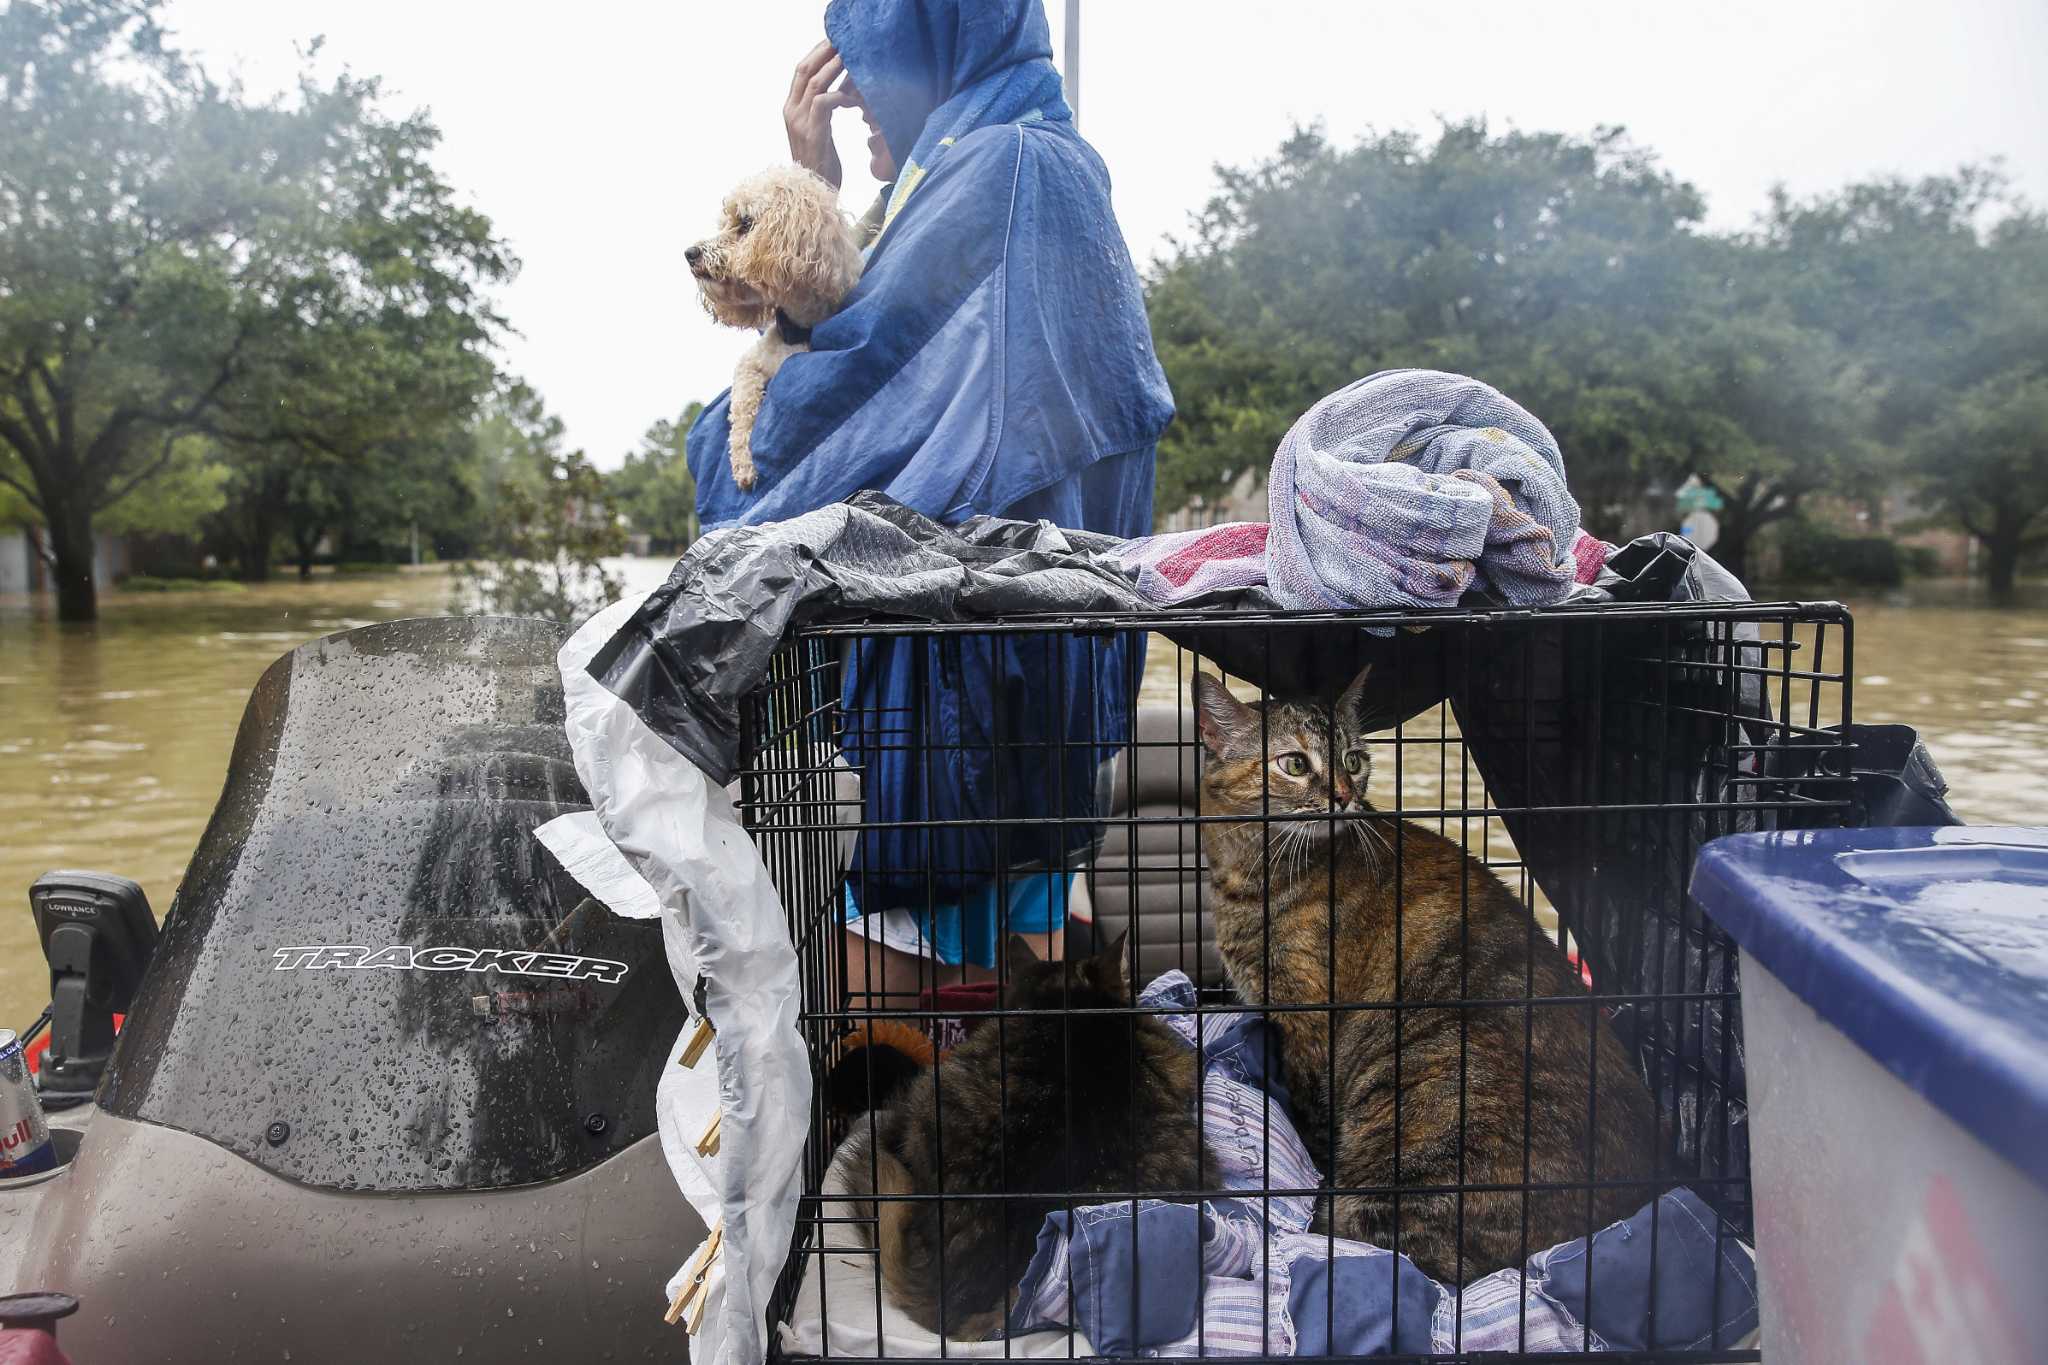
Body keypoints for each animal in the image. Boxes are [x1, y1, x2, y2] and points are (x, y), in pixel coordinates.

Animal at [688, 165, 864, 493]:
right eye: (725, 222)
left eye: (745, 223)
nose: (689, 253)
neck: (796, 329)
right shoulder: (749, 363)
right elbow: (741, 405)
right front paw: (743, 464)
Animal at [1196, 667, 1654, 1285]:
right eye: (1293, 763)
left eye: (1353, 759)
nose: (1344, 795)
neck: (1254, 865)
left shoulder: (1310, 1024)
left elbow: (1313, 1119)